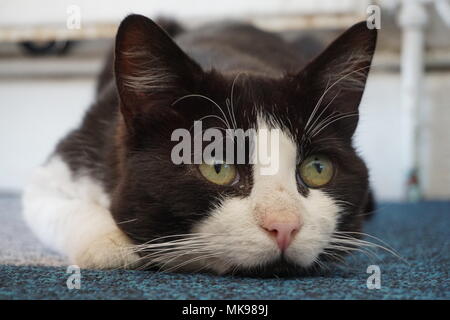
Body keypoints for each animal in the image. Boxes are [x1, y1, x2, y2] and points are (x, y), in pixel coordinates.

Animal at [23, 13, 376, 276]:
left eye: (318, 168)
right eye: (217, 167)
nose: (285, 226)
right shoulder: (73, 153)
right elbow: (49, 199)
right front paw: (112, 246)